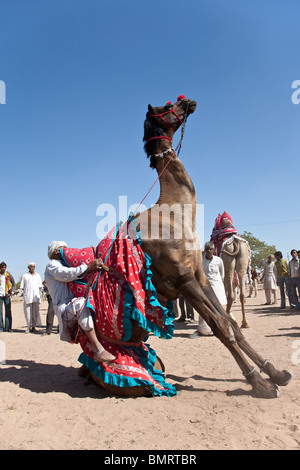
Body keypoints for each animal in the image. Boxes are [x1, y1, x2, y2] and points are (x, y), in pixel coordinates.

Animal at [91, 97, 290, 398]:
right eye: (165, 106)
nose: (188, 100)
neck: (176, 212)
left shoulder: (198, 276)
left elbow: (231, 324)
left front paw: (277, 373)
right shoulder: (182, 279)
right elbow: (220, 326)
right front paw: (260, 383)